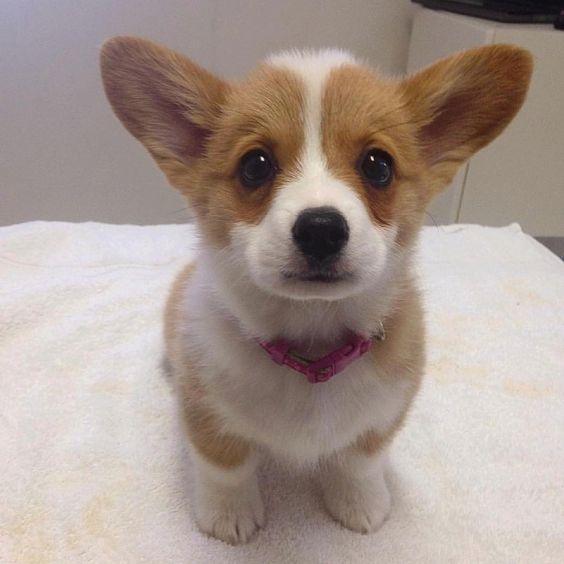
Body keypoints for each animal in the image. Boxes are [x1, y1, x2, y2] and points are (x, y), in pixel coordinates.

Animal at [100, 38, 528, 540]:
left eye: (378, 166)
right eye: (255, 165)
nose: (321, 229)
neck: (312, 342)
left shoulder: (384, 414)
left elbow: (360, 462)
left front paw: (361, 504)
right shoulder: (206, 412)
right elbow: (226, 466)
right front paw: (229, 515)